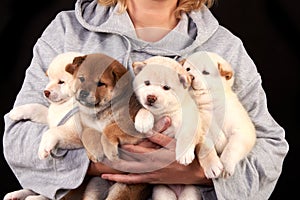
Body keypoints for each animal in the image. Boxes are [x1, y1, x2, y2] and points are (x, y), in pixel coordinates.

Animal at [65, 52, 150, 200]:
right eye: (81, 78)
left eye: (100, 83)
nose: (83, 93)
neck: (100, 111)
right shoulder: (85, 125)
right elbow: (88, 134)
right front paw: (94, 151)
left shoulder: (130, 125)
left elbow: (109, 129)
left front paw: (109, 151)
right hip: (93, 188)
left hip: (122, 190)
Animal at [132, 56, 200, 200]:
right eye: (147, 83)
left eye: (166, 87)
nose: (151, 97)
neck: (163, 113)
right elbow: (144, 109)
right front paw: (143, 120)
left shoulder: (192, 119)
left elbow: (187, 134)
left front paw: (184, 153)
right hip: (162, 191)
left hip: (190, 193)